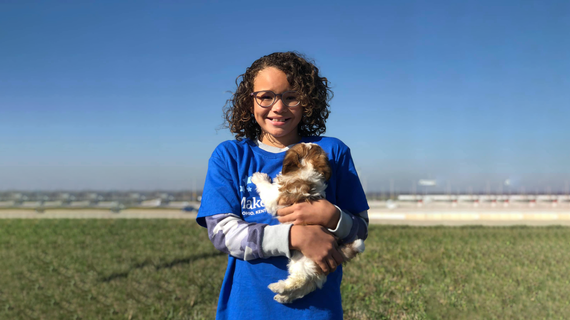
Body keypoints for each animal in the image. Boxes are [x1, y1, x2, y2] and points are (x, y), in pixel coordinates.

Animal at [250, 144, 364, 304]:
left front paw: (259, 177)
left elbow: (267, 188)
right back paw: (282, 297)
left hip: (308, 262)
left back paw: (278, 288)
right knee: (305, 286)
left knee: (300, 281)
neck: (307, 166)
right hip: (301, 264)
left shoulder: (276, 196)